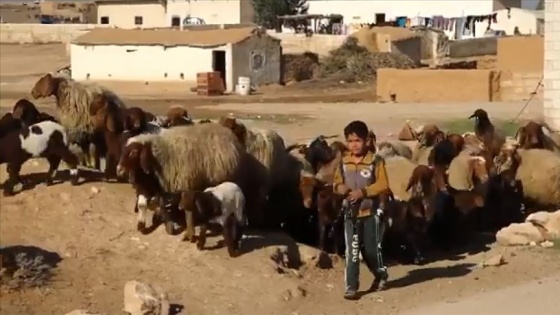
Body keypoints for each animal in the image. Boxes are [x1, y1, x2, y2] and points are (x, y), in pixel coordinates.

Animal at [115, 123, 244, 242]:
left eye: (133, 152)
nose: (119, 170)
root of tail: (226, 131)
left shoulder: (183, 185)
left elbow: (184, 210)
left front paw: (183, 231)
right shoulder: (150, 185)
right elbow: (143, 204)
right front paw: (142, 224)